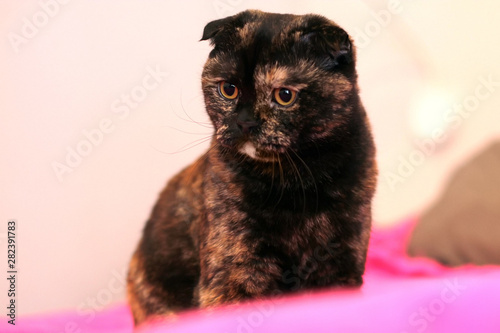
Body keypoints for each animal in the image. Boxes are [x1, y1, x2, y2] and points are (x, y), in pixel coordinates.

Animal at [127, 10, 376, 324]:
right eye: (228, 89)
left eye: (284, 95)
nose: (245, 122)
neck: (295, 183)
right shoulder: (235, 267)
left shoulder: (341, 259)